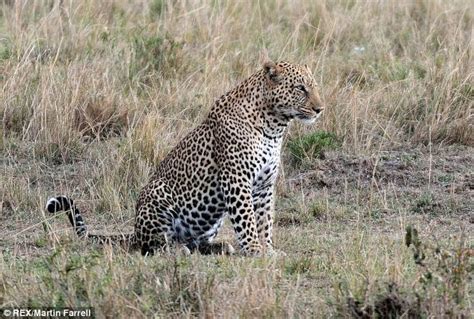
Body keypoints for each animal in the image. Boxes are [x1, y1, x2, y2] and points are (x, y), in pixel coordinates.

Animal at [46, 58, 324, 256]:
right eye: (300, 88)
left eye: (315, 87)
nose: (320, 109)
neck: (274, 126)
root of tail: (134, 231)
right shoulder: (237, 180)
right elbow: (247, 220)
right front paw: (256, 250)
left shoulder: (264, 185)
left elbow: (265, 220)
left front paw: (268, 249)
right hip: (156, 196)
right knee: (153, 245)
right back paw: (177, 249)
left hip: (212, 219)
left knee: (195, 241)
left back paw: (219, 246)